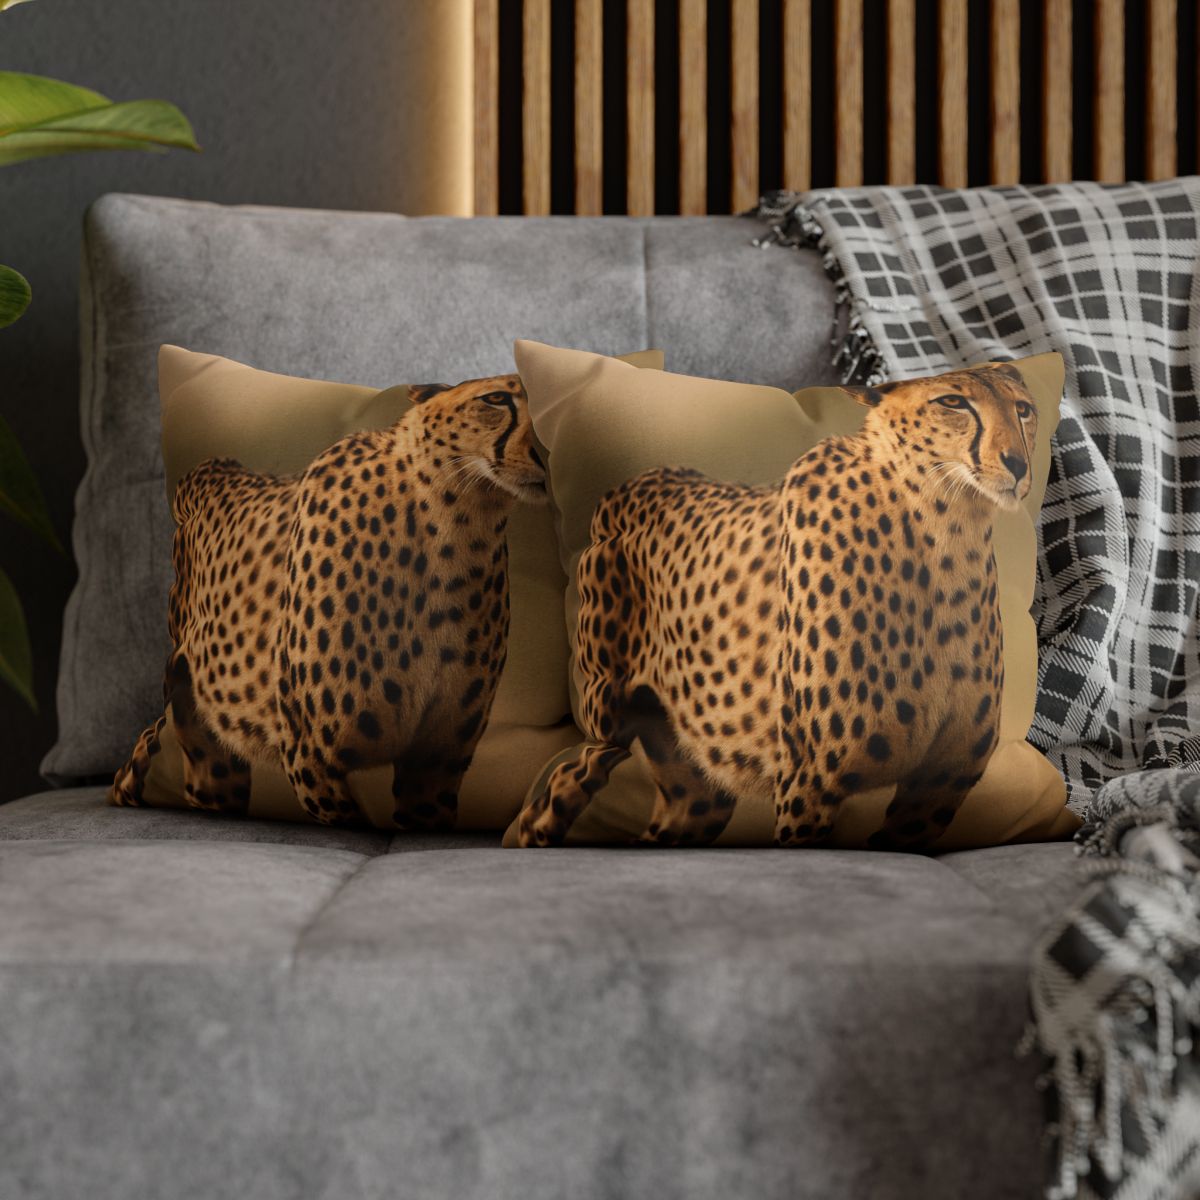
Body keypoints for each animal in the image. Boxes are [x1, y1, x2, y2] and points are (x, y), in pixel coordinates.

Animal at [111, 373, 545, 829]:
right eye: (496, 399)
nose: (546, 454)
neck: (453, 525)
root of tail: (212, 469)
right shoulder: (310, 754)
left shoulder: (434, 762)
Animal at [517, 362, 1038, 851]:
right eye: (953, 402)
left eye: (1024, 410)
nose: (1017, 464)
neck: (944, 536)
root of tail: (635, 482)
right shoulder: (810, 780)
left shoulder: (937, 784)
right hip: (608, 718)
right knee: (566, 781)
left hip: (695, 785)